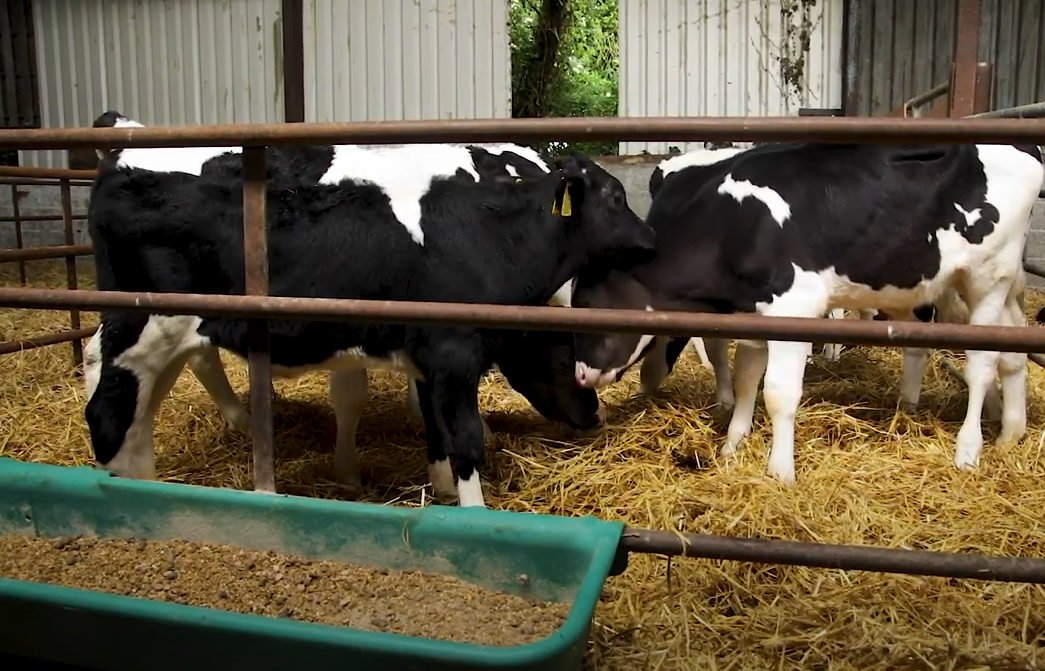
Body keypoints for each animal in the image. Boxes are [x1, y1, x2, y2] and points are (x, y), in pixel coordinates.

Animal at [84, 118, 656, 508]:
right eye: (616, 194)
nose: (595, 416)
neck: (488, 235)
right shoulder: (453, 353)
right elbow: (464, 439)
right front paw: (473, 510)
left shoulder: (427, 357)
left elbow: (435, 426)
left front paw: (437, 486)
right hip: (144, 327)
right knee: (108, 411)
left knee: (139, 411)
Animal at [570, 140, 1044, 484]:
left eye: (592, 305)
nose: (581, 374)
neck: (731, 226)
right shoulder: (752, 312)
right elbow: (746, 379)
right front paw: (733, 445)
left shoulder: (792, 307)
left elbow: (779, 393)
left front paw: (780, 471)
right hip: (1001, 288)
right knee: (1013, 352)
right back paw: (1010, 433)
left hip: (986, 279)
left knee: (982, 364)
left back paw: (968, 449)